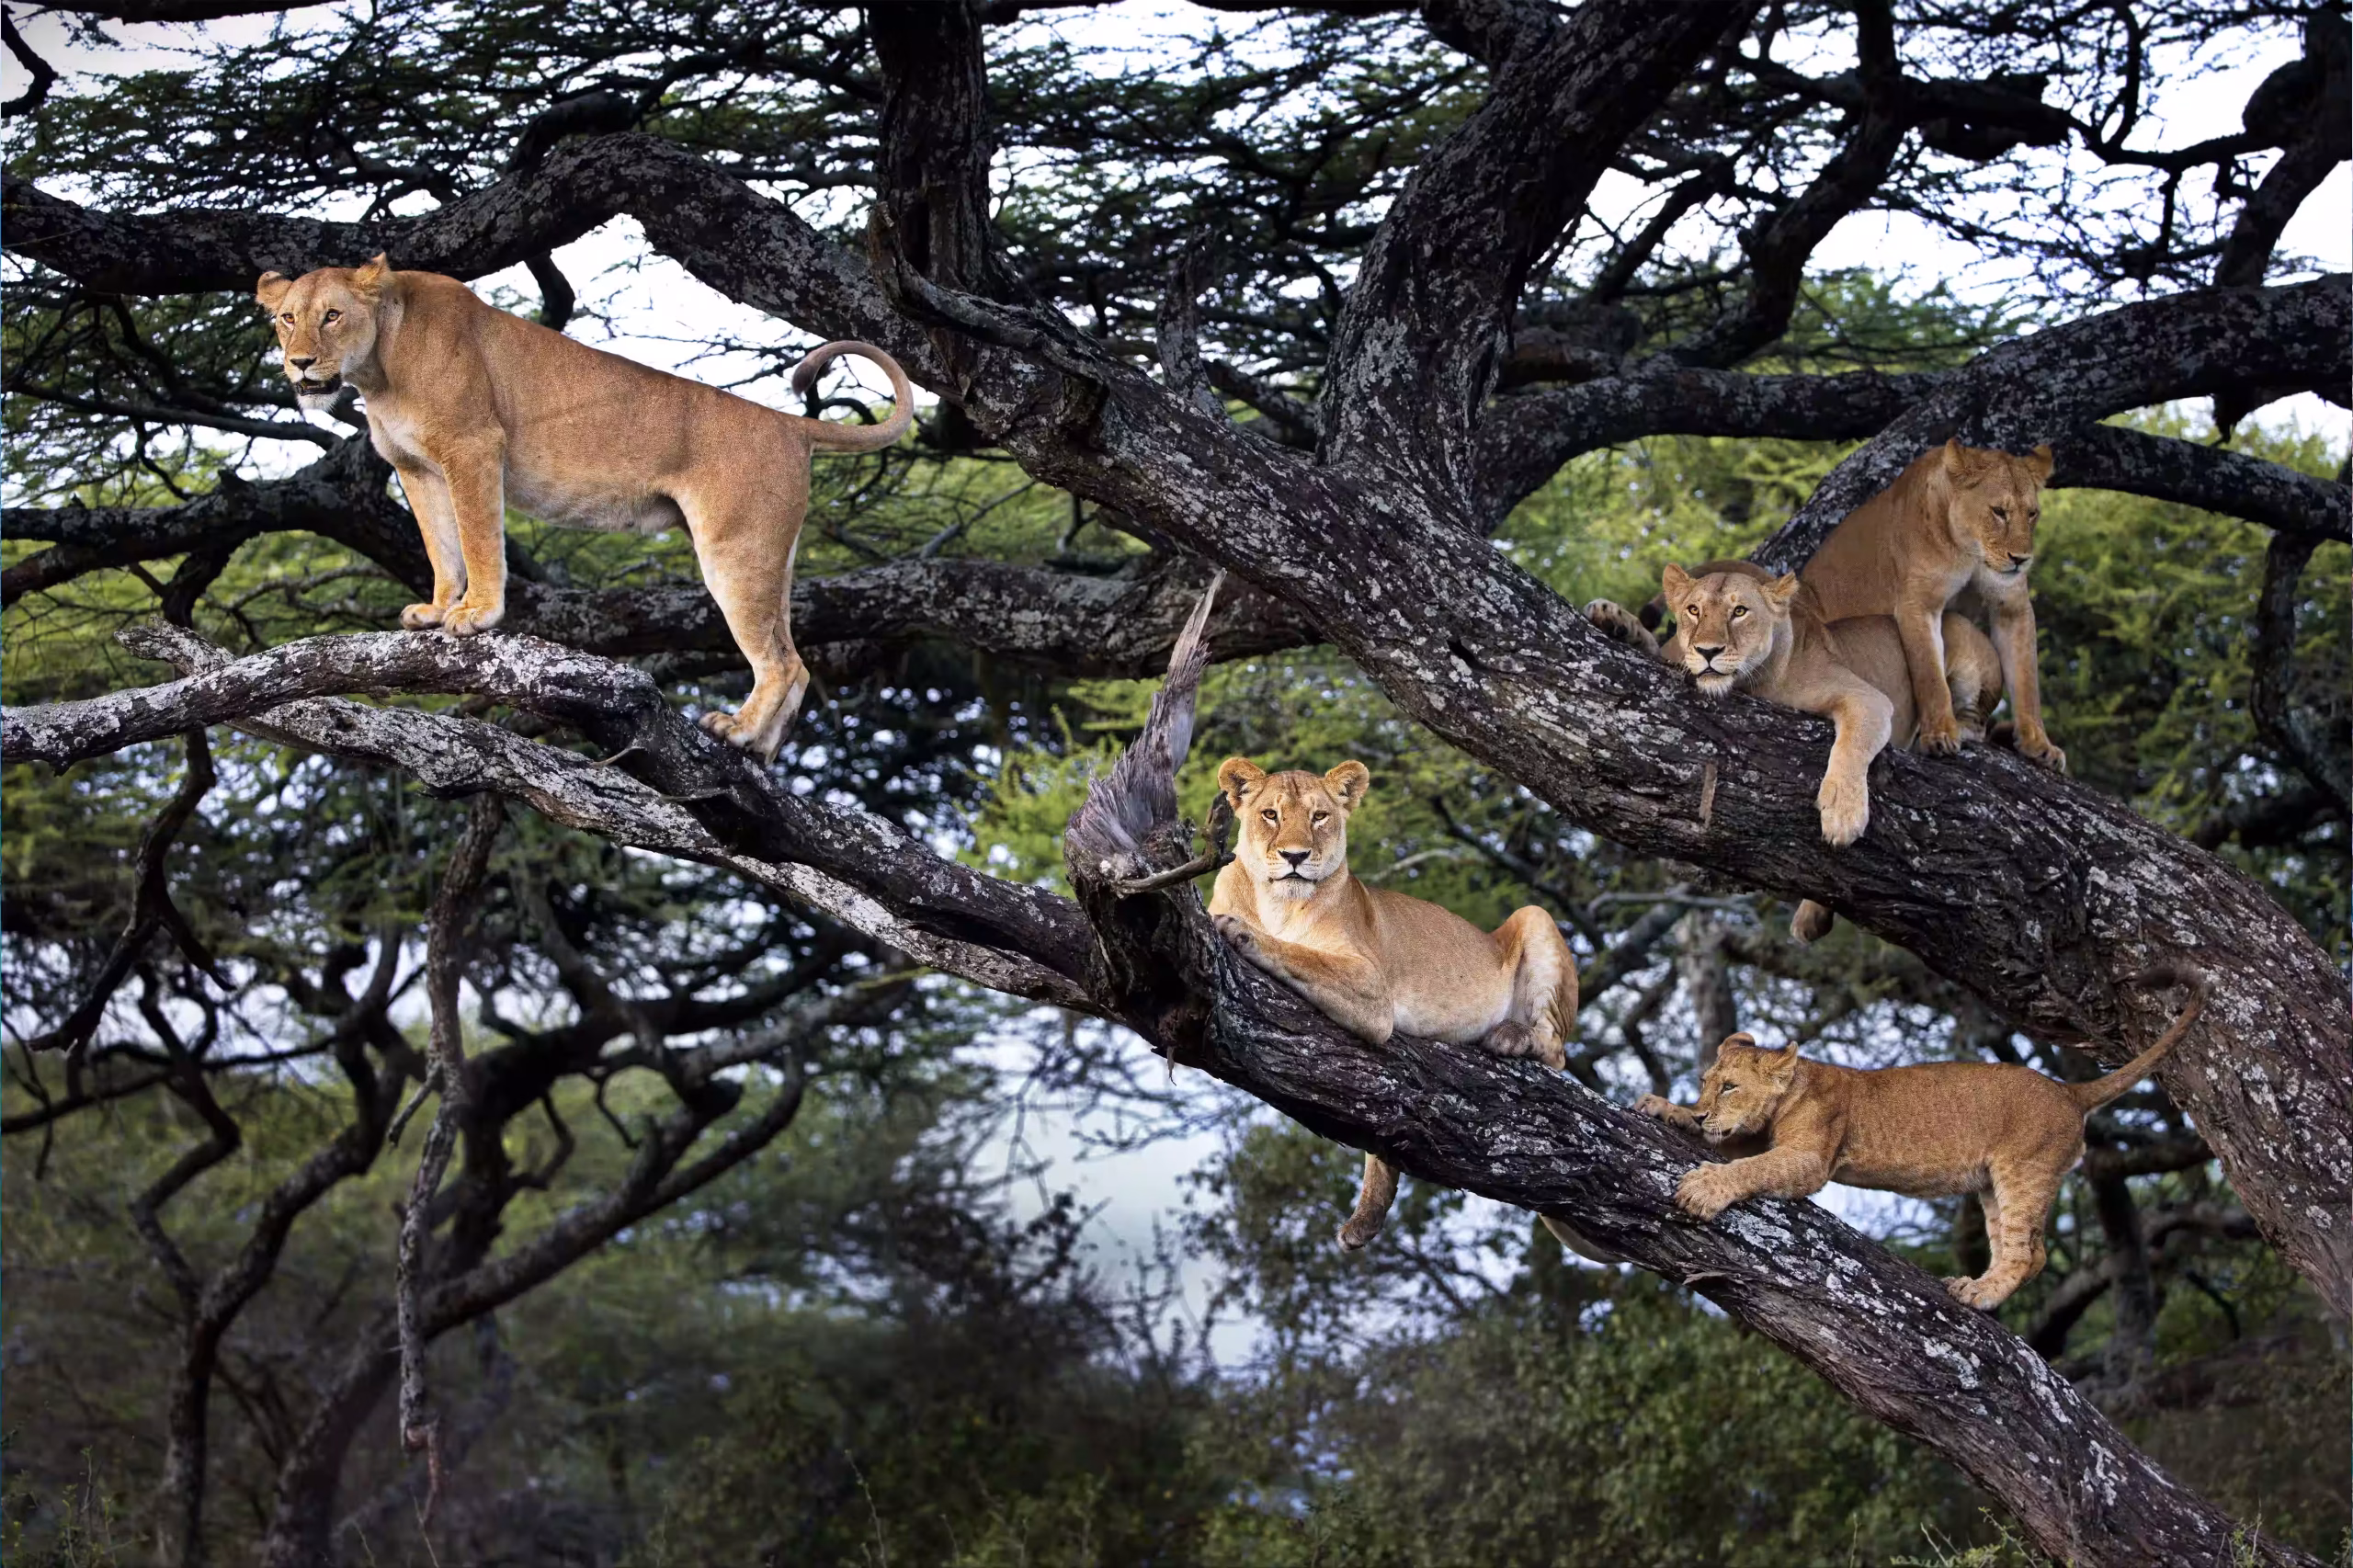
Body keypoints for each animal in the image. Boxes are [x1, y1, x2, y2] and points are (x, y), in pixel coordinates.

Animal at [256, 254, 911, 762]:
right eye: (288, 319)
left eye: (332, 315)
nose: (300, 362)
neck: (379, 368)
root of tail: (791, 424)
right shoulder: (417, 469)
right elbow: (441, 547)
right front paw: (437, 608)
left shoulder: (473, 446)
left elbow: (477, 538)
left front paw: (475, 615)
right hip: (772, 554)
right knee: (797, 660)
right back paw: (761, 750)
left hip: (735, 549)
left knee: (778, 661)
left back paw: (738, 731)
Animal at [1208, 757, 1578, 1251]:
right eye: (1270, 814)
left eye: (1319, 817)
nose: (1295, 857)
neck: (1276, 904)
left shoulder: (1372, 987)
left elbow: (1298, 953)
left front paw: (1242, 931)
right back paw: (1364, 1220)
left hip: (1534, 916)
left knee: (1556, 1052)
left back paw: (1510, 1036)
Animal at [1634, 963, 2208, 1309]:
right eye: (1705, 1084)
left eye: (1729, 1087)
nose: (1704, 1113)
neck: (1794, 1088)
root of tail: (2069, 1092)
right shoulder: (1761, 1137)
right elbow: (1735, 1148)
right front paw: (1666, 1109)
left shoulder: (1811, 1158)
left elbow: (1750, 1166)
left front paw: (1702, 1188)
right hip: (1990, 1184)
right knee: (2023, 1248)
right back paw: (1975, 1286)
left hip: (2023, 1170)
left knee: (2029, 1254)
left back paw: (1978, 1295)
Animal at [1802, 438, 2062, 771]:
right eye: (1999, 511)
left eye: (2032, 514)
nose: (2021, 559)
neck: (1971, 552)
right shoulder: (1919, 603)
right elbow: (1930, 675)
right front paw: (1939, 734)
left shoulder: (2012, 607)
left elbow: (2027, 680)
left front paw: (2039, 745)